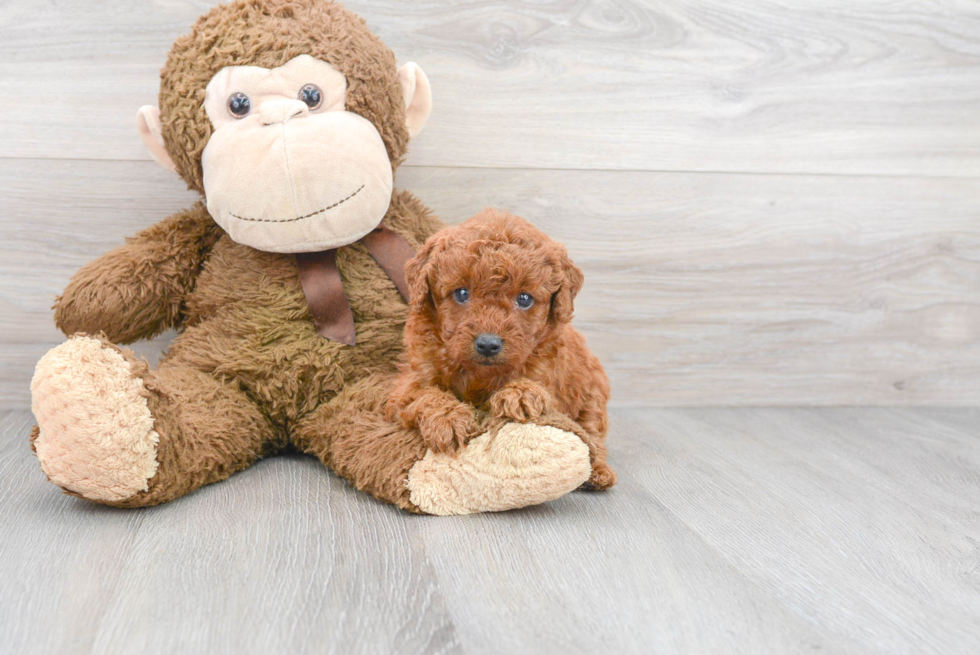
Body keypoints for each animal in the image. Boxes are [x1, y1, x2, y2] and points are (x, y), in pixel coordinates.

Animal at [386, 208, 616, 490]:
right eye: (461, 293)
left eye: (524, 299)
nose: (488, 344)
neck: (479, 374)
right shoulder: (408, 383)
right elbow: (425, 394)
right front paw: (448, 419)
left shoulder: (552, 378)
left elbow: (539, 390)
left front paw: (519, 395)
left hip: (593, 393)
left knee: (592, 434)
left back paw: (599, 473)